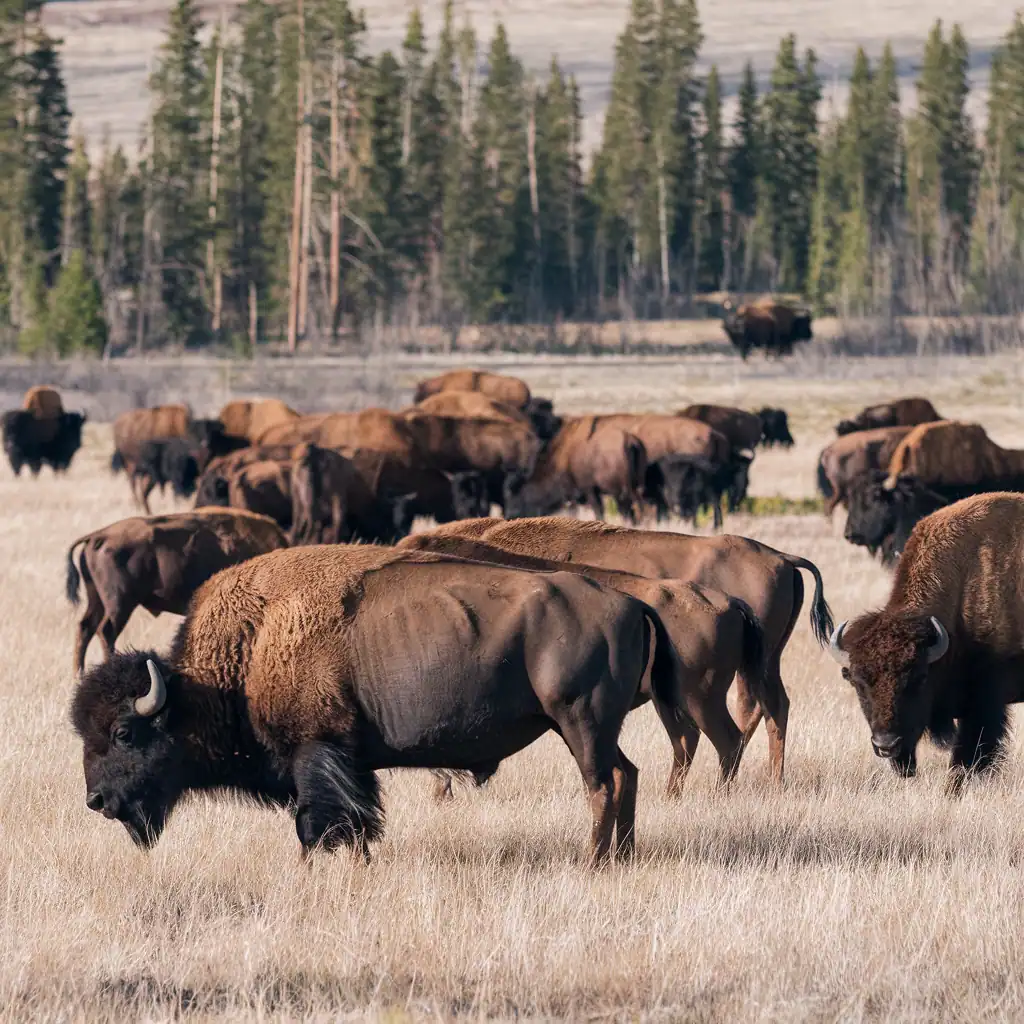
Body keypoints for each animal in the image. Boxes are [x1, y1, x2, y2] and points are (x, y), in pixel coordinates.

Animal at [66, 509, 287, 672]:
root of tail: (99, 535)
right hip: (120, 603)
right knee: (106, 631)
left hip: (97, 599)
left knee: (85, 628)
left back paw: (79, 675)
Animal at [71, 545, 677, 864]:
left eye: (124, 733)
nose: (96, 801)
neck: (250, 649)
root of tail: (630, 603)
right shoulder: (354, 764)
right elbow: (359, 820)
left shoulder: (317, 753)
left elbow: (318, 822)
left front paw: (314, 868)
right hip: (596, 728)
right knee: (626, 775)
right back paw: (619, 858)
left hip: (579, 721)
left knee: (602, 783)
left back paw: (594, 861)